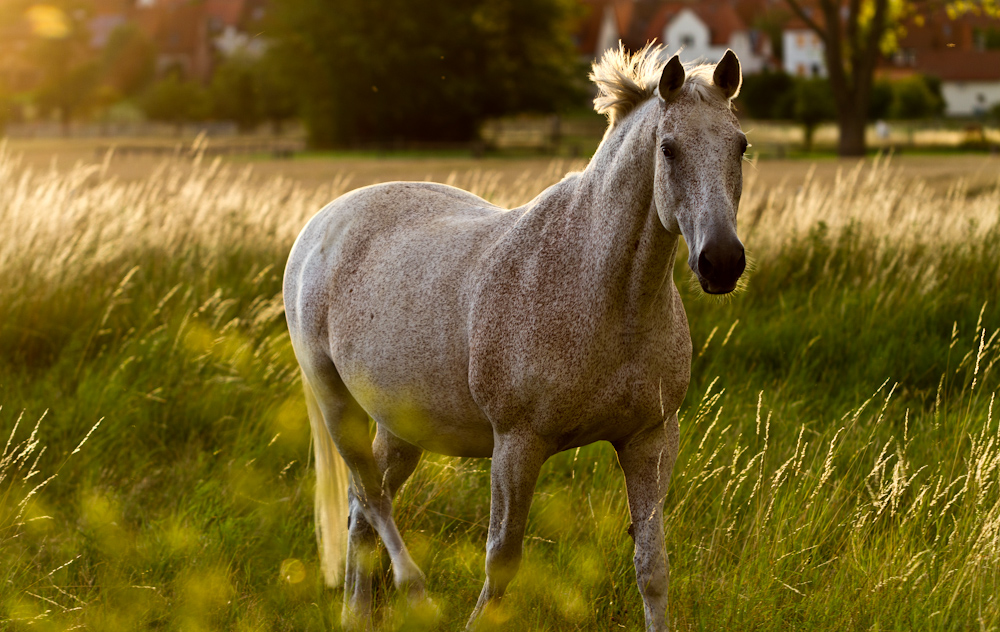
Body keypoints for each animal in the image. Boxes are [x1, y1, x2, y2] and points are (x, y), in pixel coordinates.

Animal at [286, 47, 748, 628]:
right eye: (668, 148)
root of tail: (320, 224)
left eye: (741, 145)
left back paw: (357, 613)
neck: (605, 295)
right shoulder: (516, 446)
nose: (722, 262)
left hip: (400, 425)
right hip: (336, 404)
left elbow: (653, 567)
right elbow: (501, 561)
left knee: (361, 511)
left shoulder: (651, 439)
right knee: (371, 497)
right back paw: (415, 590)